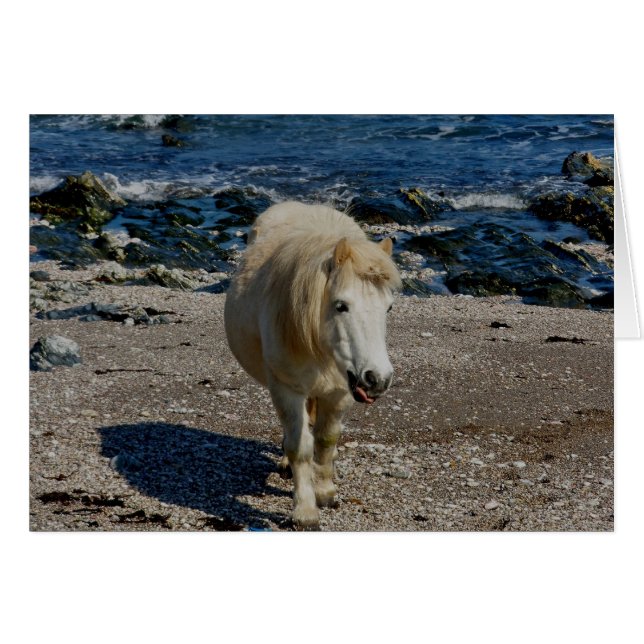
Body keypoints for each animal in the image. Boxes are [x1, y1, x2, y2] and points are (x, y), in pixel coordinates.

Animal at [224, 201, 401, 529]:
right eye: (341, 305)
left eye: (389, 307)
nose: (377, 379)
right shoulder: (287, 389)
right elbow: (301, 447)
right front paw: (305, 510)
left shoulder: (340, 392)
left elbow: (326, 440)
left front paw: (325, 491)